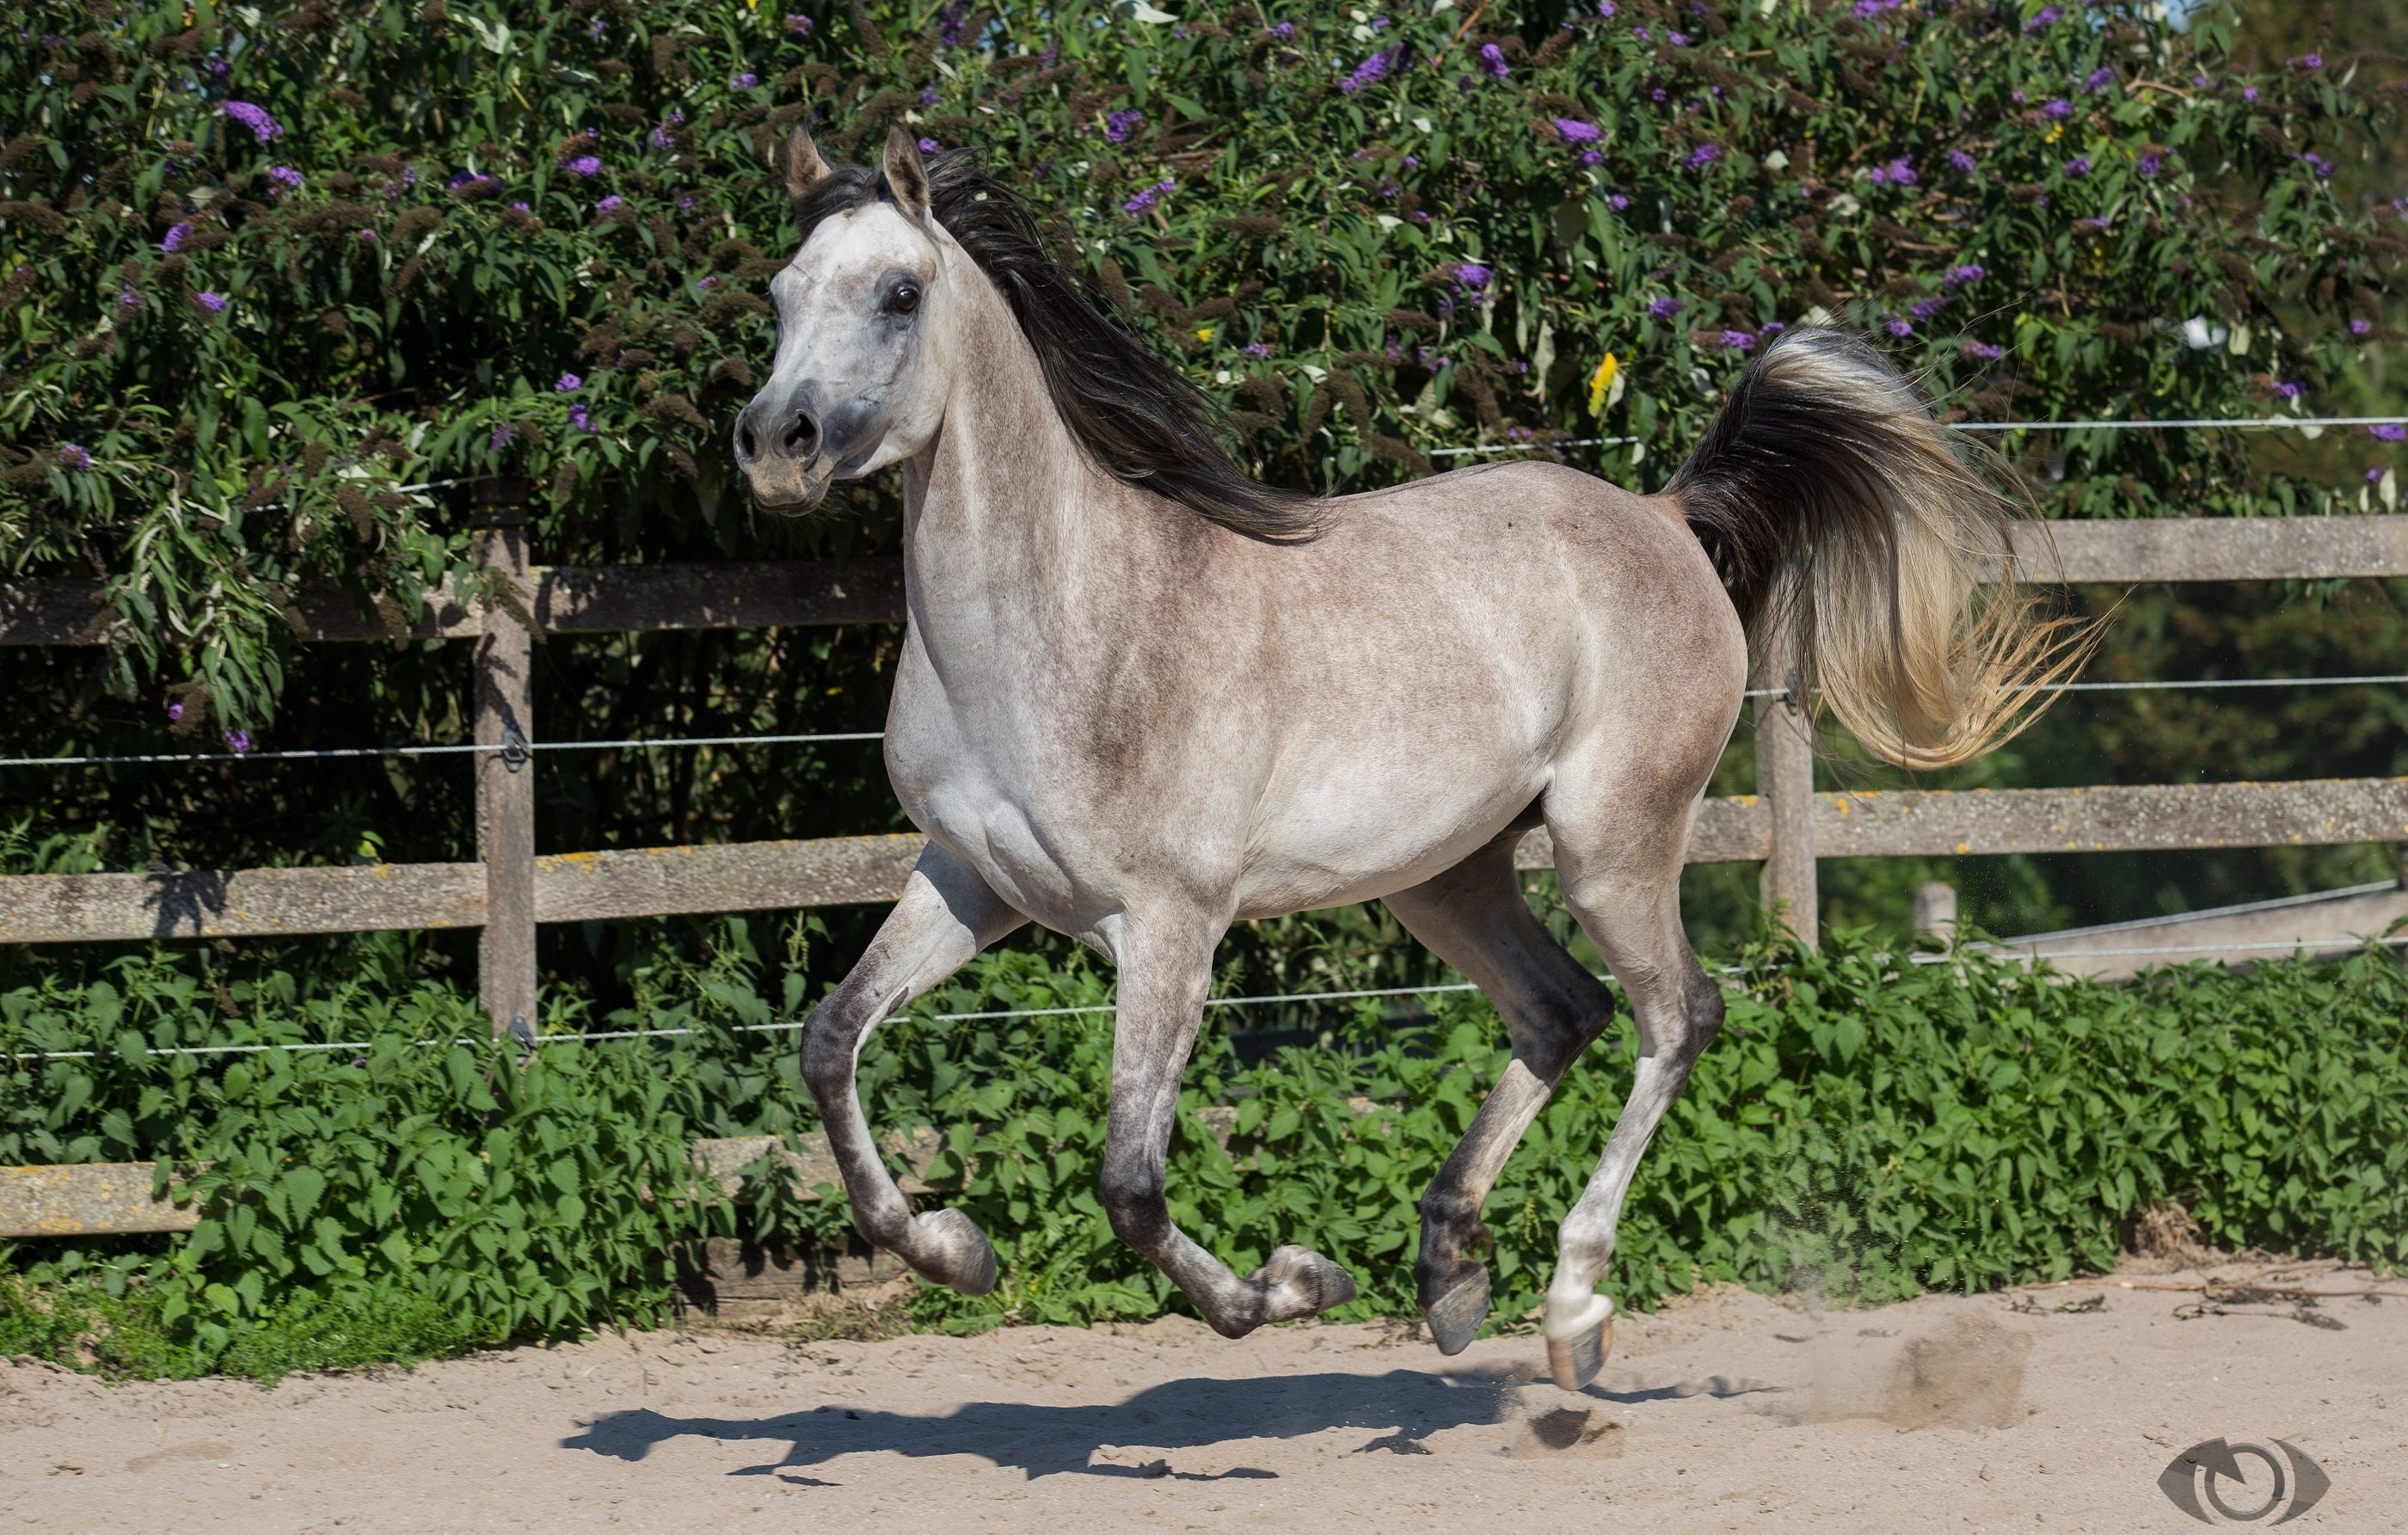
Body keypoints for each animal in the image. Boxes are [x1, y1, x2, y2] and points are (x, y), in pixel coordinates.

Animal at [732, 126, 2076, 1389]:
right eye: (780, 292)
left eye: (900, 292)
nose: (775, 444)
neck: (1067, 622)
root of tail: (1663, 516)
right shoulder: (971, 879)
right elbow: (828, 1043)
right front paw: (956, 1251)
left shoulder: (1170, 926)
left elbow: (1129, 1184)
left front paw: (1289, 1285)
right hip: (1447, 874)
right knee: (1562, 1012)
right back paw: (1449, 1275)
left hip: (1610, 847)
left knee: (1677, 1017)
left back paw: (1569, 1308)